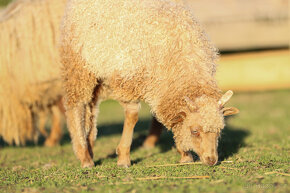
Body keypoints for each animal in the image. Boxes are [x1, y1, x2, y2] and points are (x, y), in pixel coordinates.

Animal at [60, 0, 239, 167]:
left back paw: (89, 146)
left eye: (219, 131)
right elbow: (132, 116)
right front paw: (123, 158)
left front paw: (185, 155)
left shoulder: (162, 88)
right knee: (76, 106)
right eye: (195, 131)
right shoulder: (128, 79)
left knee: (91, 109)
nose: (212, 160)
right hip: (78, 65)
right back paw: (85, 157)